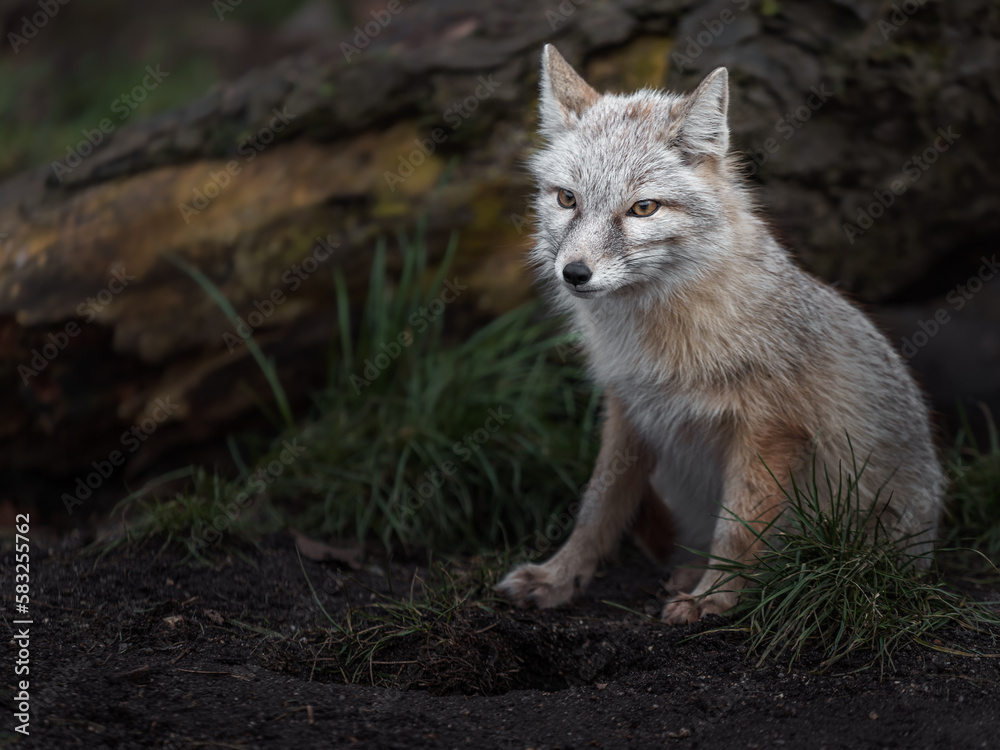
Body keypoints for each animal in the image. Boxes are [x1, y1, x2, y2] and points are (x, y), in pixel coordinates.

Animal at [495, 45, 945, 624]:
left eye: (643, 208)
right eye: (567, 199)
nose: (574, 274)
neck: (656, 337)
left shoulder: (769, 428)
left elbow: (740, 527)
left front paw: (716, 597)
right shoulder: (628, 410)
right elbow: (597, 508)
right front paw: (560, 577)